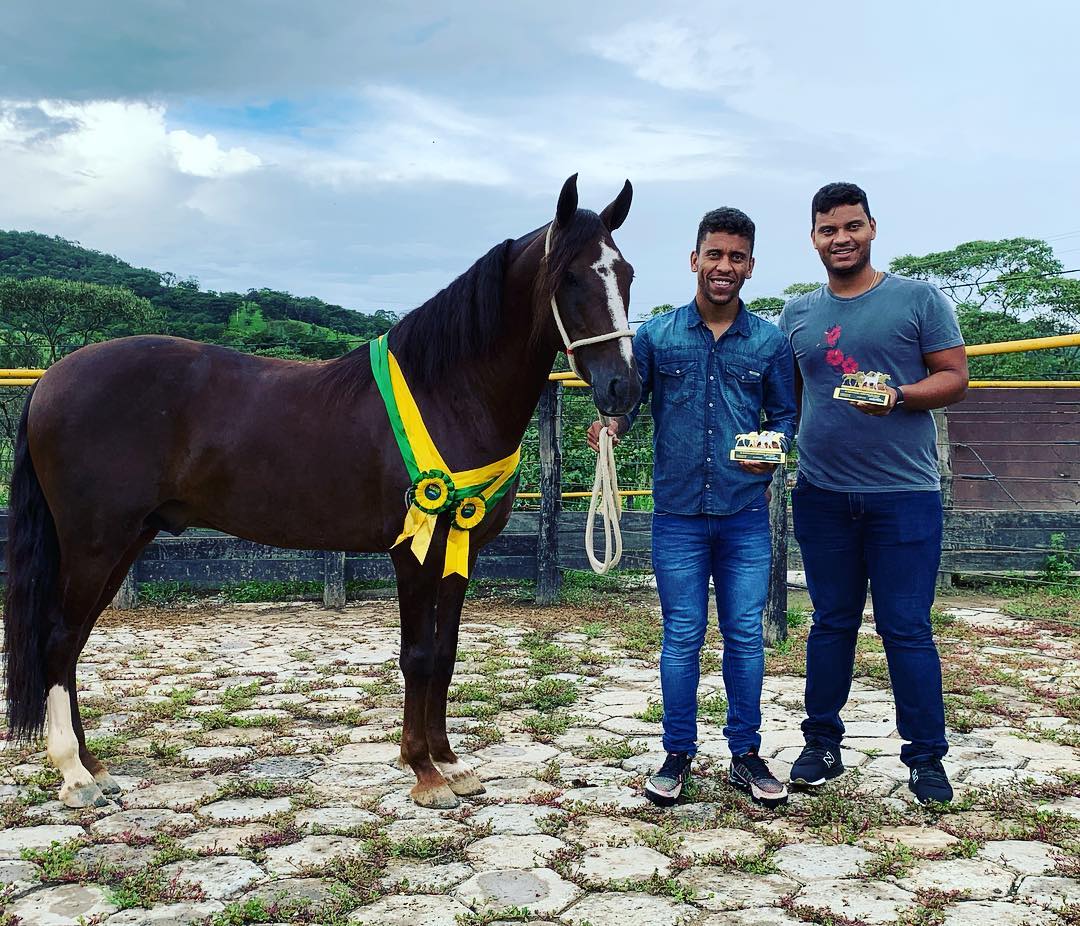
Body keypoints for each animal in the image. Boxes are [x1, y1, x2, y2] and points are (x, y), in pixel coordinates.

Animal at [4, 175, 635, 808]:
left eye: (625, 273)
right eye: (569, 277)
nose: (622, 388)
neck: (448, 392)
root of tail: (51, 380)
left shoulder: (464, 548)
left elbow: (446, 653)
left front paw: (452, 764)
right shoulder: (414, 550)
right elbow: (417, 655)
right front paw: (424, 772)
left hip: (125, 541)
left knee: (73, 643)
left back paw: (96, 767)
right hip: (95, 542)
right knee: (58, 638)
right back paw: (74, 775)